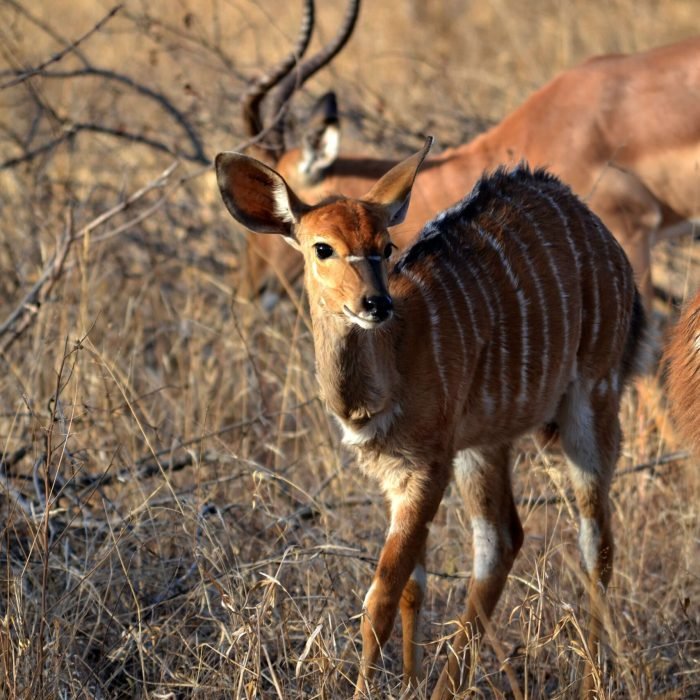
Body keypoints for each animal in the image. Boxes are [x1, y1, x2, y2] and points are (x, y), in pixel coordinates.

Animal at [215, 137, 648, 697]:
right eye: (322, 247)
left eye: (386, 247)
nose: (374, 303)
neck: (391, 364)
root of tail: (605, 240)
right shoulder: (396, 475)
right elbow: (411, 587)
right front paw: (408, 681)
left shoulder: (426, 466)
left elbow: (379, 597)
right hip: (485, 441)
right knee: (501, 540)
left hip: (592, 400)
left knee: (595, 542)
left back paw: (592, 679)